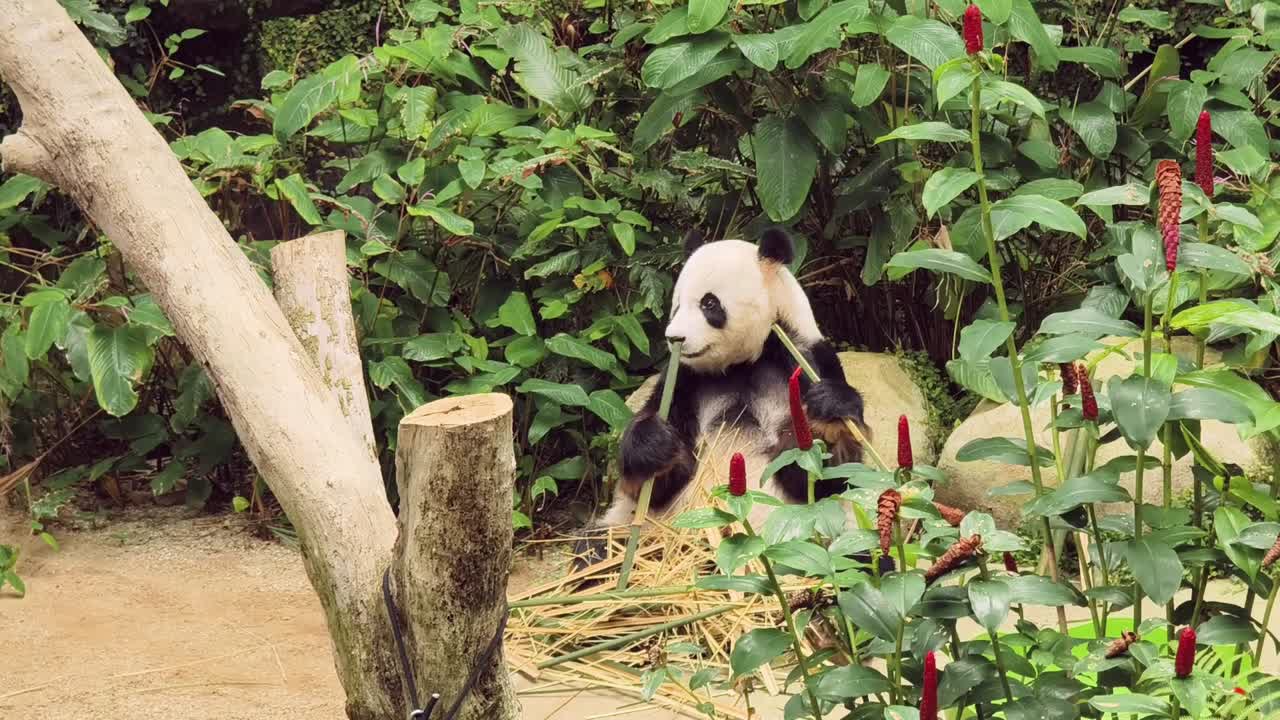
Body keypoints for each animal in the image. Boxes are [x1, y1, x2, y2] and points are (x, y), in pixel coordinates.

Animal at [589, 227, 870, 543]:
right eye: (676, 305)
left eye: (708, 303)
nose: (674, 338)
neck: (742, 363)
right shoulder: (684, 382)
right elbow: (660, 481)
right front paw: (656, 441)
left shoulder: (806, 360)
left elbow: (826, 475)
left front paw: (829, 410)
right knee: (596, 543)